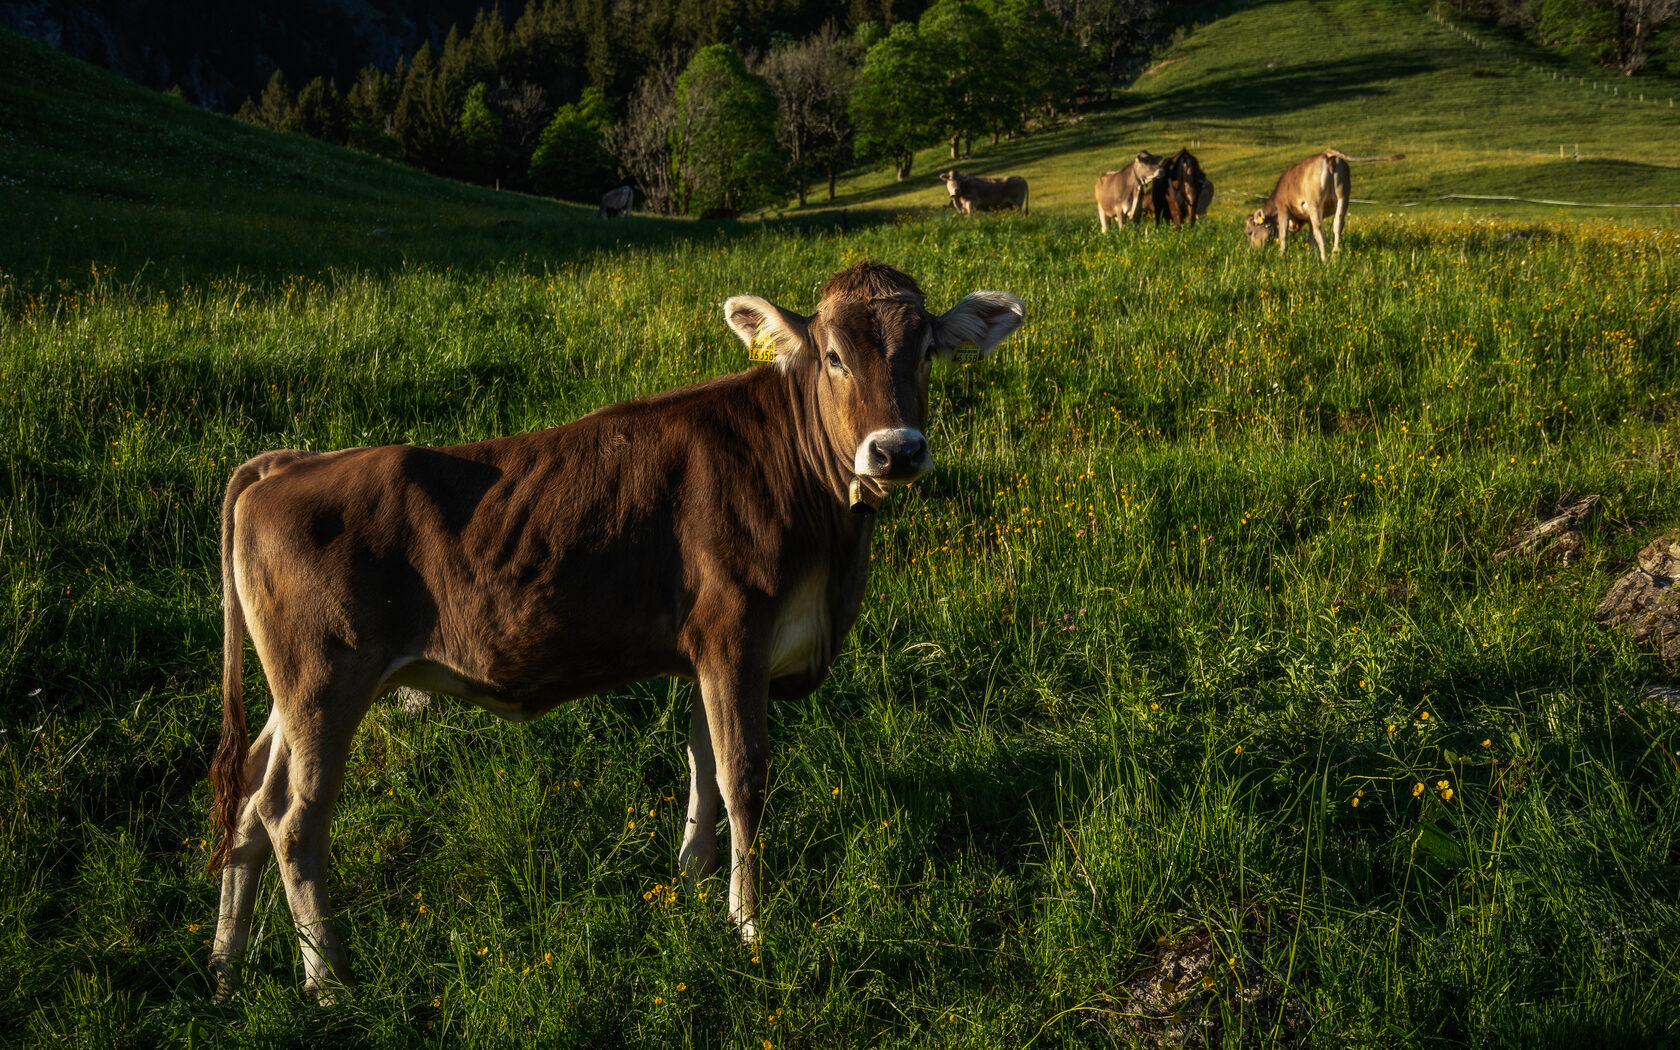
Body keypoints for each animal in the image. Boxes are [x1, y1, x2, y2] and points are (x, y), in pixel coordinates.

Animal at [206, 262, 1021, 1001]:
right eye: (832, 356)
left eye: (926, 351)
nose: (897, 449)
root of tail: (287, 464)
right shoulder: (735, 632)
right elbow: (743, 774)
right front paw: (749, 924)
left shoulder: (710, 648)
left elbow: (701, 760)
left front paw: (694, 878)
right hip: (325, 679)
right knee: (294, 816)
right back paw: (327, 979)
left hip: (295, 692)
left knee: (249, 795)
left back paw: (226, 965)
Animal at [1249, 147, 1404, 260]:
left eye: (1249, 232)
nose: (1253, 251)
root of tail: (1327, 153)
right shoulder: (1308, 217)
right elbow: (1310, 238)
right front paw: (1312, 255)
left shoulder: (1284, 209)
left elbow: (1284, 235)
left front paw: (1281, 256)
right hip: (1343, 197)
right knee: (1338, 225)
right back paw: (1336, 254)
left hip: (1316, 203)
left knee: (1320, 230)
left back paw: (1325, 258)